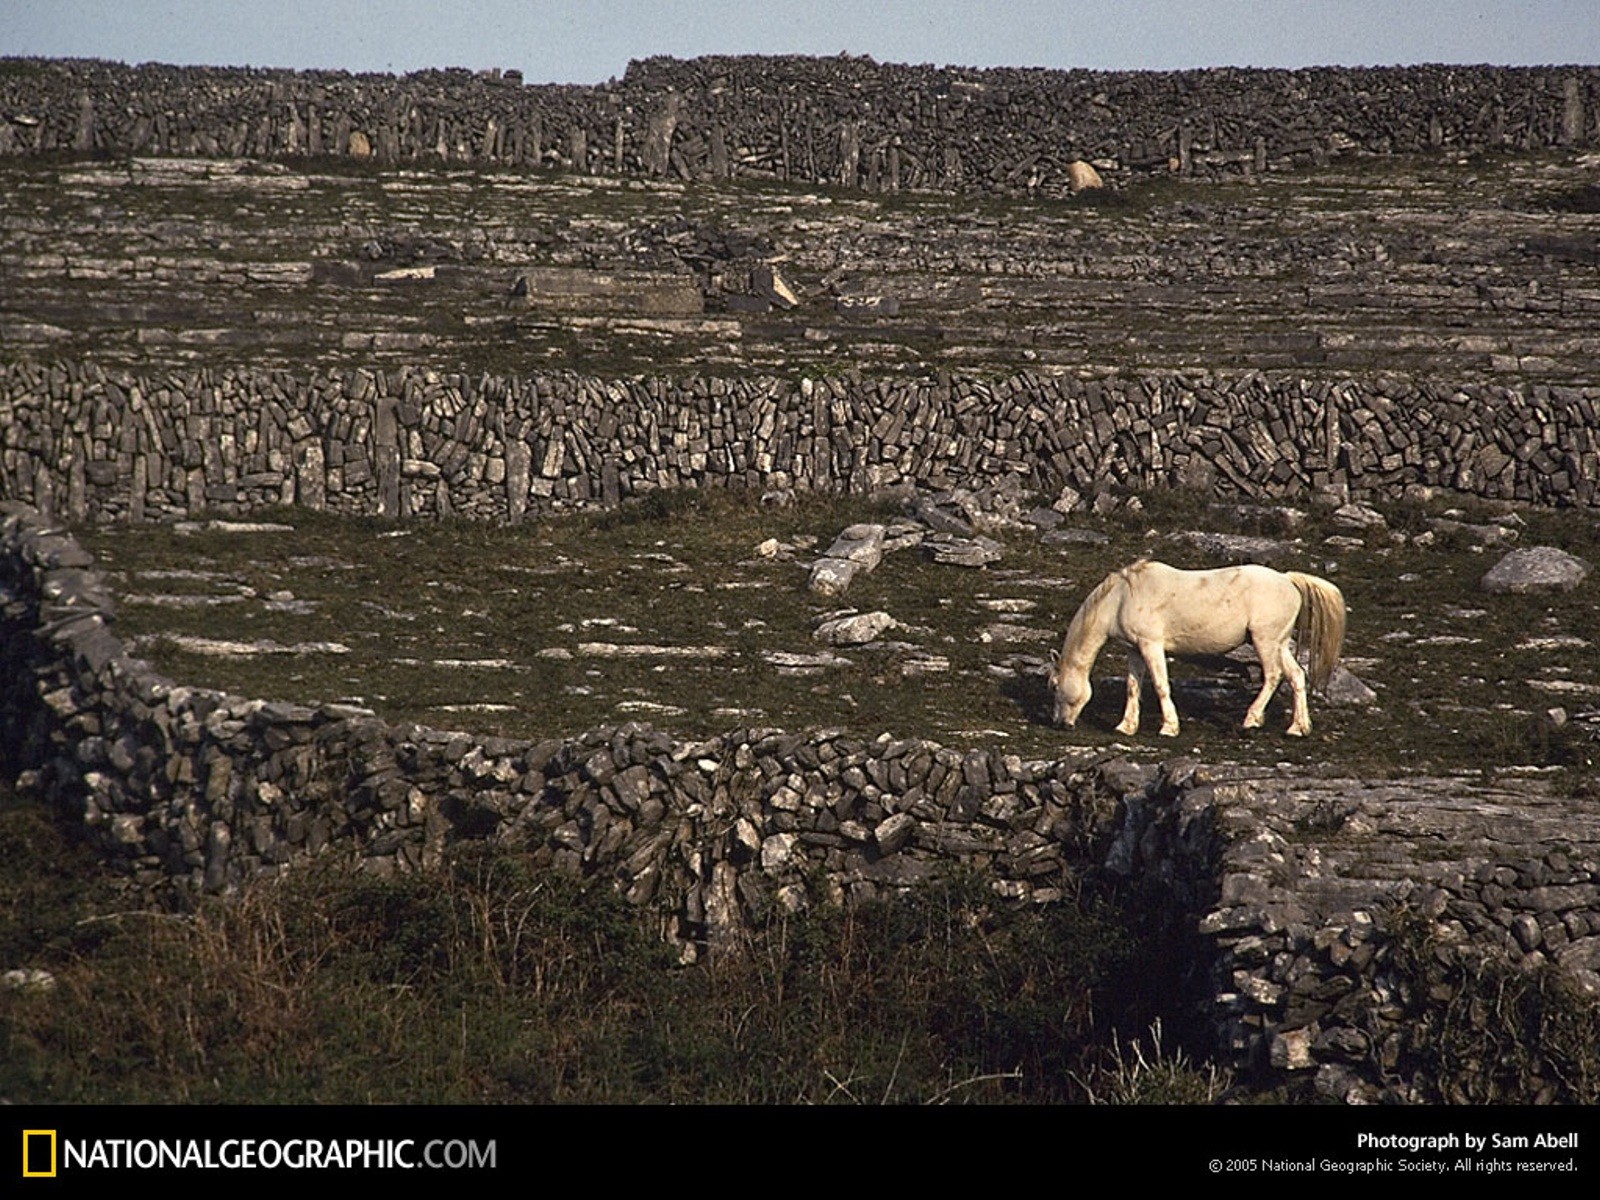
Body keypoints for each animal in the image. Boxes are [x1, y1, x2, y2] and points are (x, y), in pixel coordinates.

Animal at [1048, 559, 1346, 737]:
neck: (1121, 598)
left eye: (1053, 685)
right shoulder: (1134, 650)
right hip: (1280, 644)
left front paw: (1169, 727)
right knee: (1296, 676)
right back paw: (1298, 727)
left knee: (1274, 676)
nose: (1059, 723)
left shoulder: (1151, 645)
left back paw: (1251, 719)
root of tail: (1287, 579)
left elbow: (1160, 685)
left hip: (1266, 642)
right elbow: (1133, 686)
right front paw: (1126, 726)